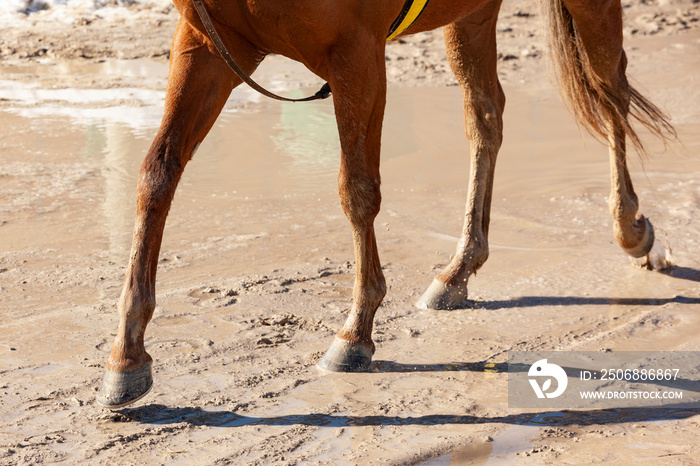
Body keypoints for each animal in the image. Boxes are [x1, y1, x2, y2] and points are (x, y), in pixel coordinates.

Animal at [97, 0, 672, 408]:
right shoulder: (209, 43)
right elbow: (157, 174)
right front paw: (126, 358)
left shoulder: (357, 51)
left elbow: (357, 189)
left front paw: (356, 332)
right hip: (472, 12)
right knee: (486, 115)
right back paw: (458, 269)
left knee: (610, 89)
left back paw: (630, 226)